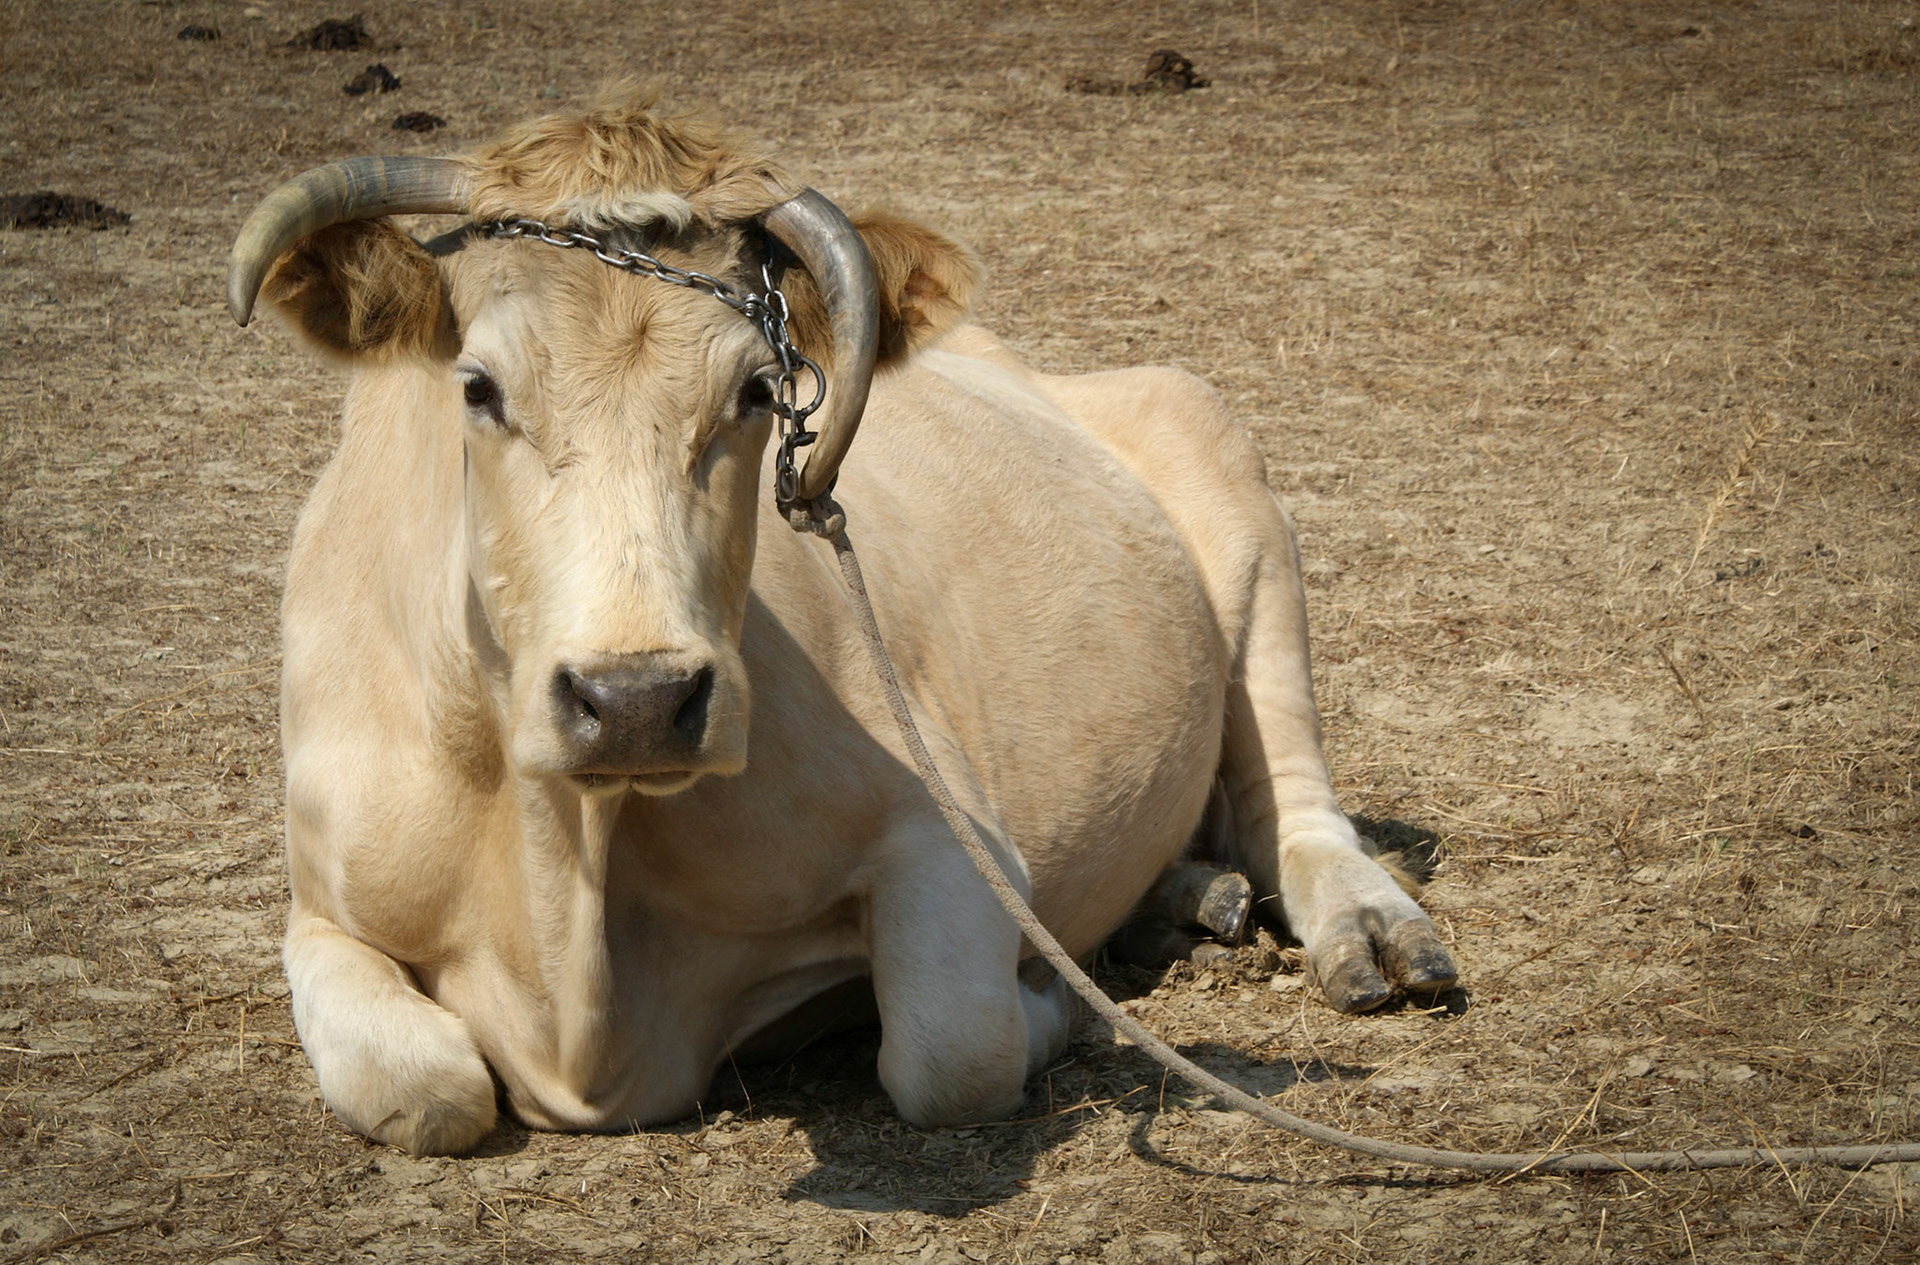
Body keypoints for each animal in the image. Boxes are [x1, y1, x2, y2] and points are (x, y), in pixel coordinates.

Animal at [227, 97, 1458, 1156]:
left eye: (757, 392)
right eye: (477, 387)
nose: (636, 701)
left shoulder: (949, 837)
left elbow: (951, 1050)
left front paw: (1056, 1003)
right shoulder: (319, 905)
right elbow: (423, 1086)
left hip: (1233, 487)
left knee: (1293, 803)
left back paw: (1364, 929)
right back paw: (1181, 902)